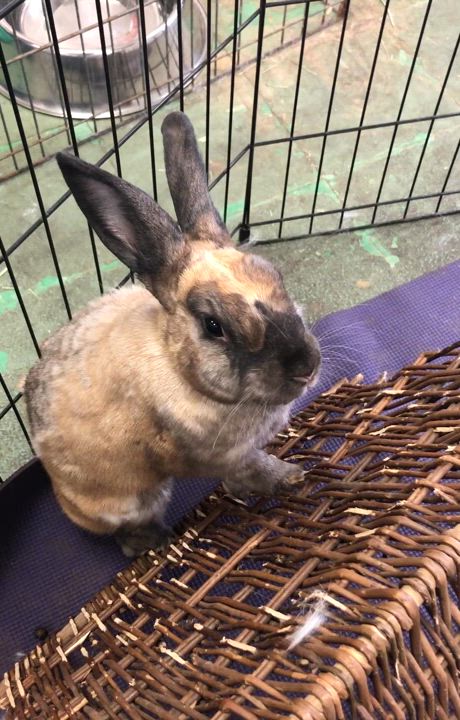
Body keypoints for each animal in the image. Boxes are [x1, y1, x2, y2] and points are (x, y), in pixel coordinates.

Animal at [25, 111, 321, 557]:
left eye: (276, 276)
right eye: (213, 326)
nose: (306, 365)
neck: (180, 368)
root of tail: (62, 497)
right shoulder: (226, 456)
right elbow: (253, 470)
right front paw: (293, 476)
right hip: (132, 498)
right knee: (126, 531)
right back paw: (154, 541)